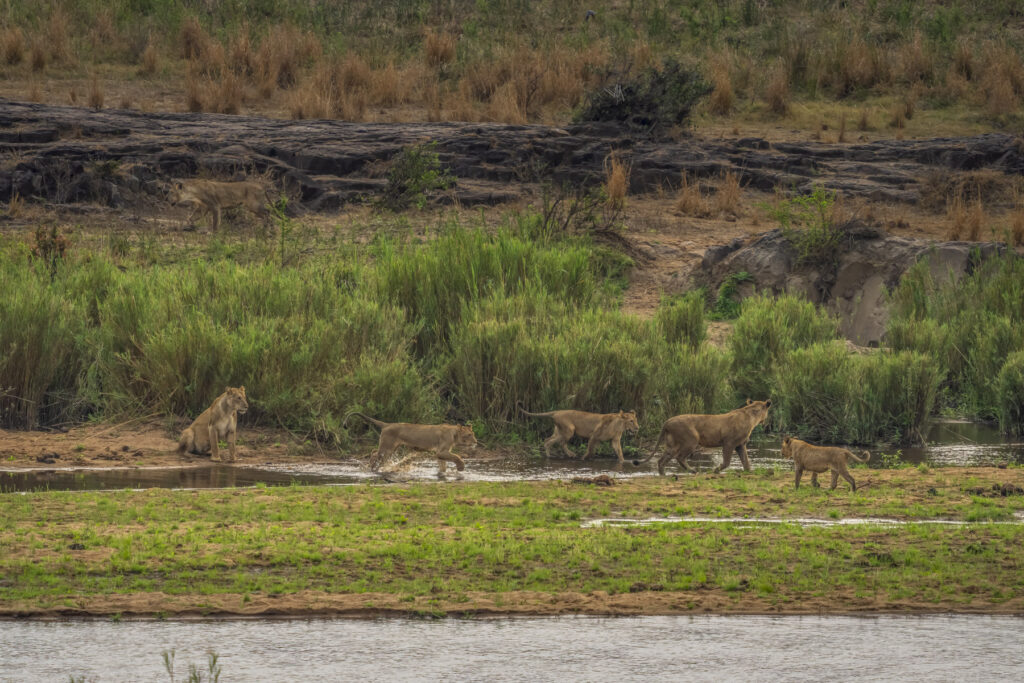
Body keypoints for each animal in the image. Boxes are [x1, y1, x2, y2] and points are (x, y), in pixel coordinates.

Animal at [346, 411, 477, 475]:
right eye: (469, 435)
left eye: (473, 434)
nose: (476, 441)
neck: (454, 433)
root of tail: (387, 424)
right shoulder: (441, 451)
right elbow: (457, 456)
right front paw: (461, 467)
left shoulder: (440, 453)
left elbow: (443, 465)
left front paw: (442, 473)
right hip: (387, 448)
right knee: (375, 454)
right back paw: (372, 468)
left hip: (392, 448)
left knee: (374, 453)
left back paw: (372, 468)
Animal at [634, 401, 770, 475]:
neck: (752, 417)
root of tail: (667, 421)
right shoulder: (729, 443)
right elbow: (727, 462)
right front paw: (715, 471)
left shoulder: (740, 445)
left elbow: (746, 461)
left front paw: (749, 472)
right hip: (691, 440)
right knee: (679, 457)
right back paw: (693, 471)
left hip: (672, 444)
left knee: (661, 460)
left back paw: (664, 474)